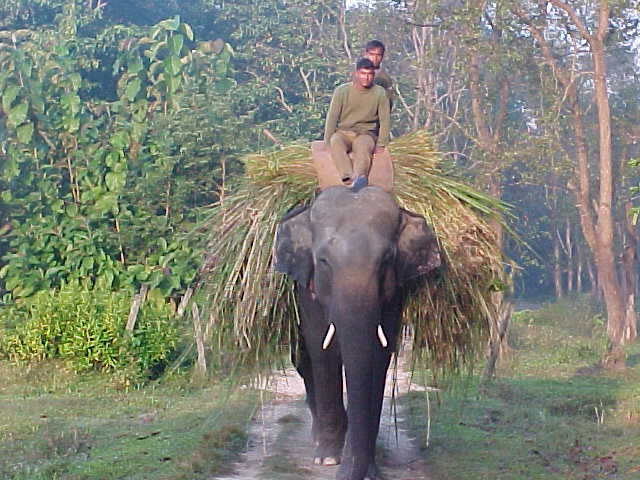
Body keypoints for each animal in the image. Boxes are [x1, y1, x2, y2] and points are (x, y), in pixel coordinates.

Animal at [272, 185, 442, 480]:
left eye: (386, 260)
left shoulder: (395, 294)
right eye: (324, 261)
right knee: (305, 362)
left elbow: (379, 354)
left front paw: (367, 465)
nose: (349, 472)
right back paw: (321, 440)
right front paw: (329, 459)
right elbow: (322, 350)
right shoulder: (308, 290)